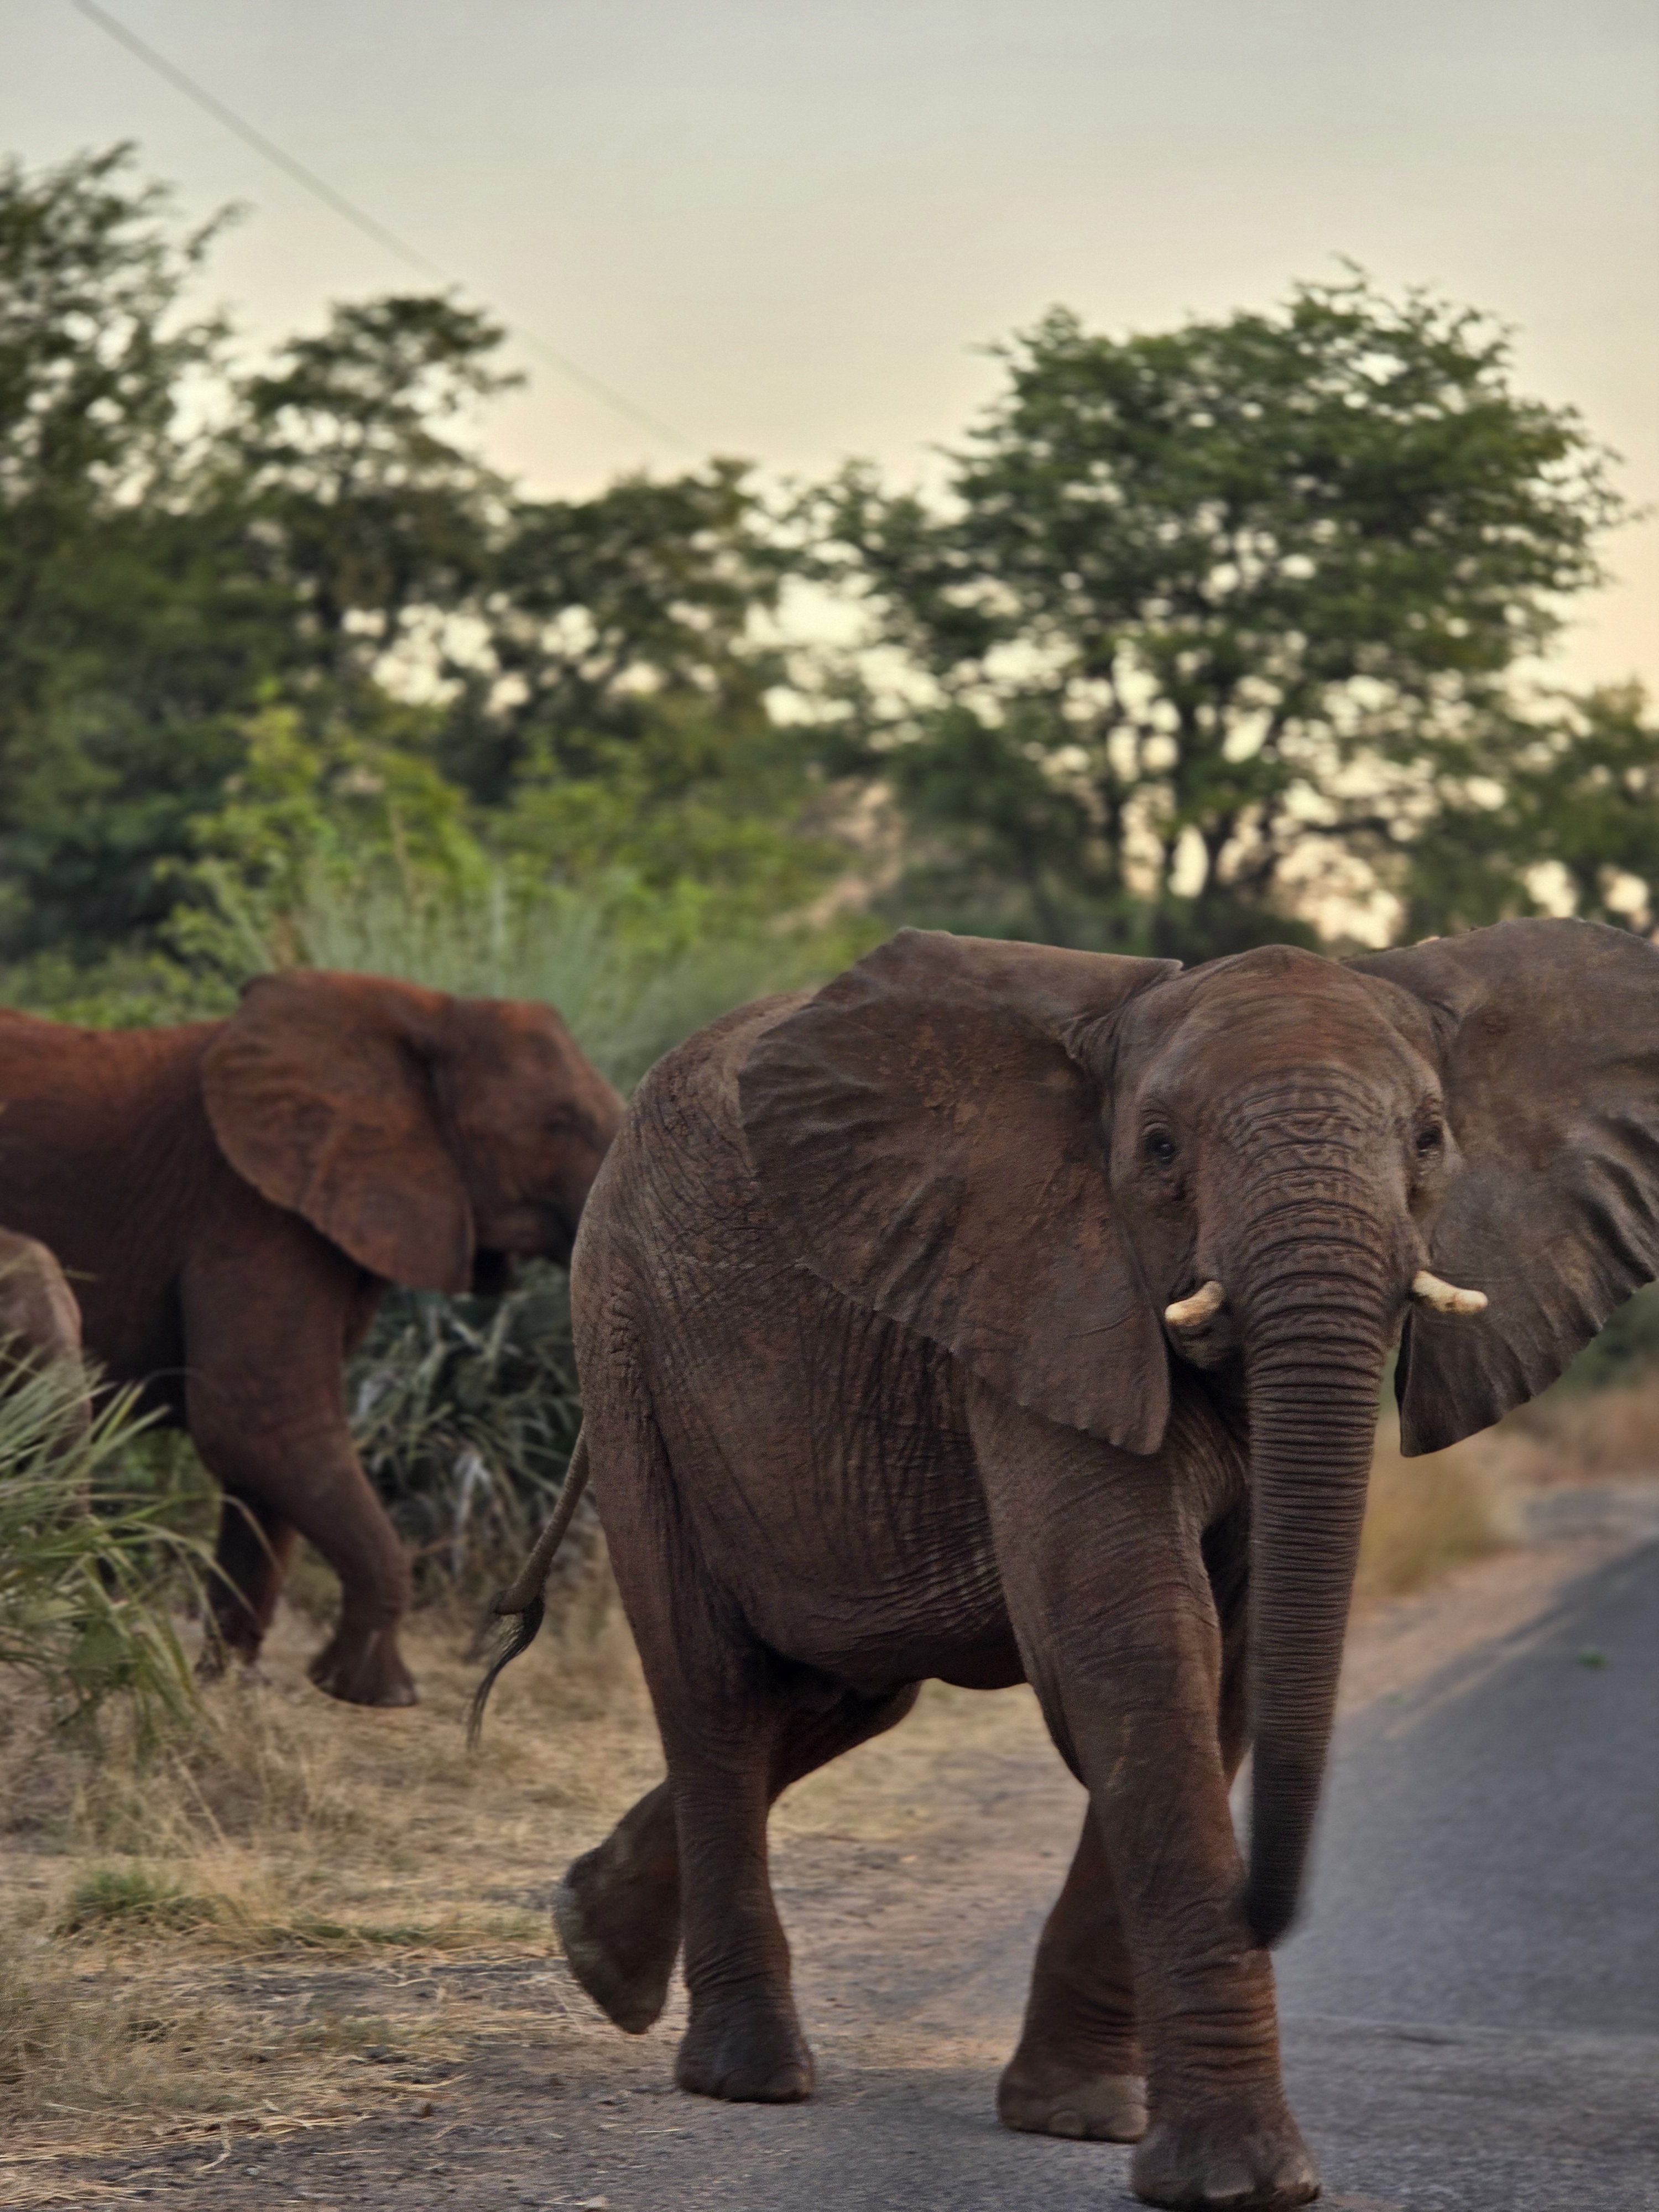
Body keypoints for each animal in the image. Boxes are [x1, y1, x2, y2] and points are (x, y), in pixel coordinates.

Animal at [0, 970, 623, 1706]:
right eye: (560, 1123)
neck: (422, 1012)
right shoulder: (250, 1211)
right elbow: (261, 1428)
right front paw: (375, 1693)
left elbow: (264, 1462)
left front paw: (230, 1690)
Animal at [480, 916, 1659, 2211]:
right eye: (1158, 1147)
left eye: (1429, 1138)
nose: (1269, 1908)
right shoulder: (1037, 1288)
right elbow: (1134, 1637)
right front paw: (1238, 2179)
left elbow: (1228, 1662)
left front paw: (1080, 2117)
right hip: (625, 1337)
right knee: (715, 1687)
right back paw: (746, 2074)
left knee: (848, 1689)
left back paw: (596, 1943)